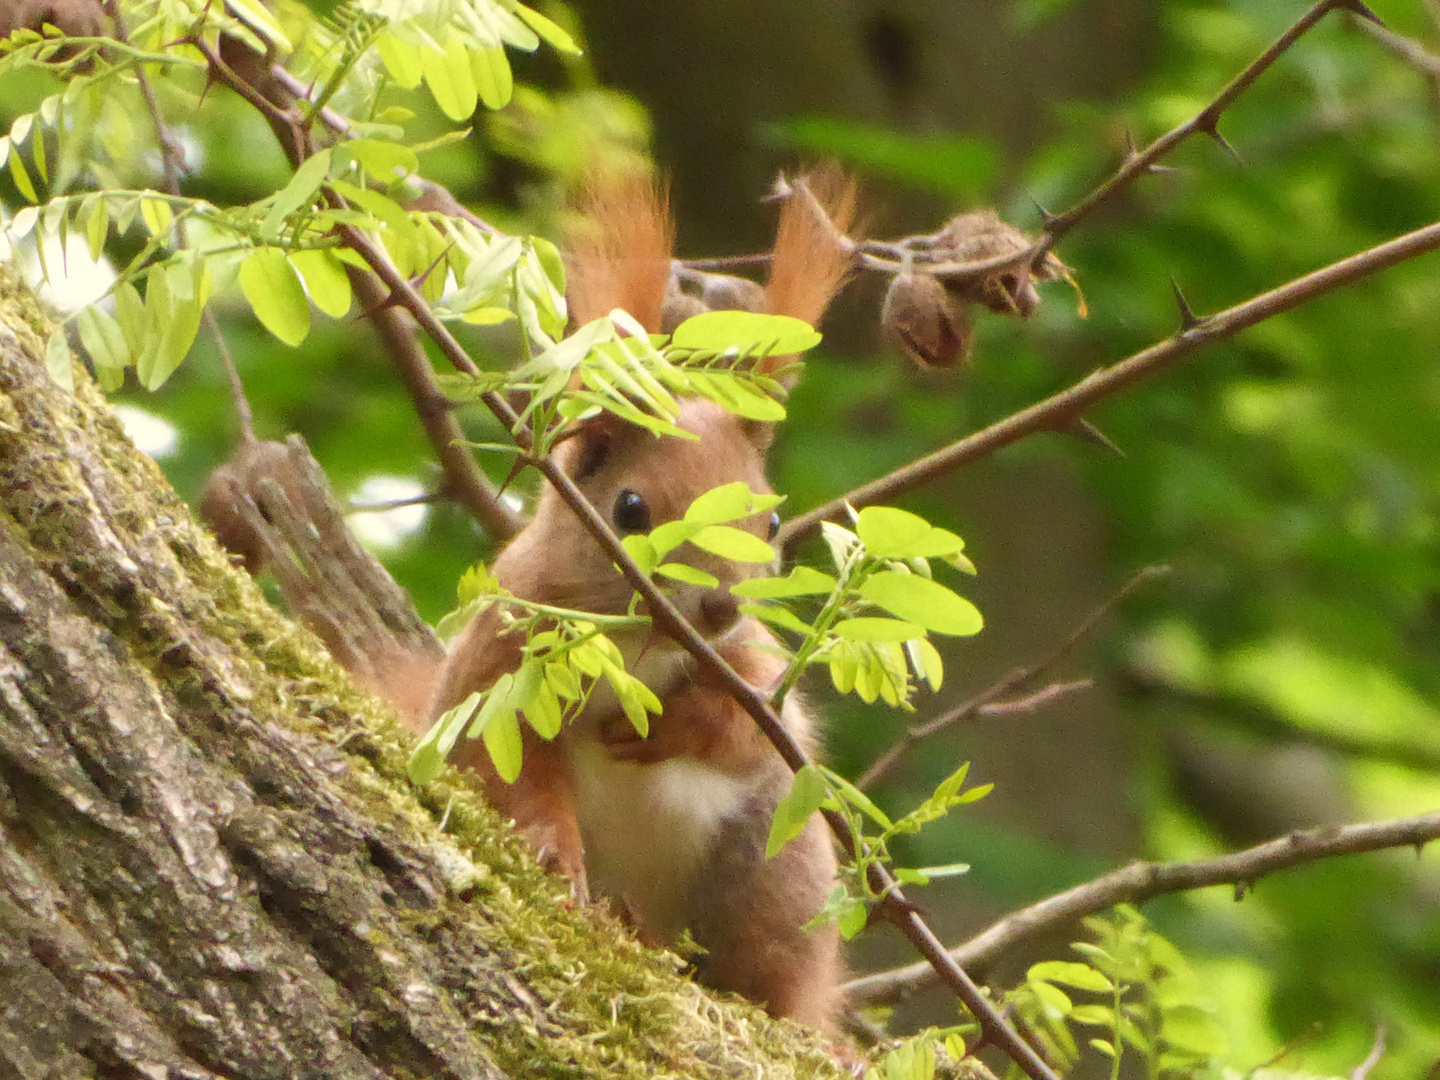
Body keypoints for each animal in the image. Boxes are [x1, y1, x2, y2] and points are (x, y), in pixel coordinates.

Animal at [385, 169, 852, 1031]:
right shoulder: (499, 661)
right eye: (630, 509)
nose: (720, 609)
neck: (634, 645)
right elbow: (508, 772)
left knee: (775, 978)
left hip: (773, 869)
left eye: (770, 522)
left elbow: (753, 731)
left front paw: (668, 726)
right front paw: (550, 853)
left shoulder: (752, 672)